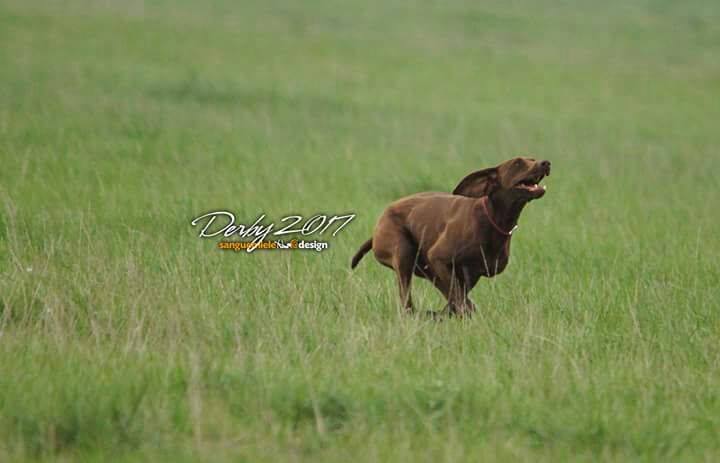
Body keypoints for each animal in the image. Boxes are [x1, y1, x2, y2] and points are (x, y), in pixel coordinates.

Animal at [350, 156, 551, 317]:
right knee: (407, 302)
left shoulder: (470, 273)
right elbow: (458, 297)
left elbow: (457, 297)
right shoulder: (438, 258)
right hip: (403, 252)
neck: (493, 218)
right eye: (517, 163)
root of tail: (376, 229)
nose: (545, 163)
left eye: (533, 158)